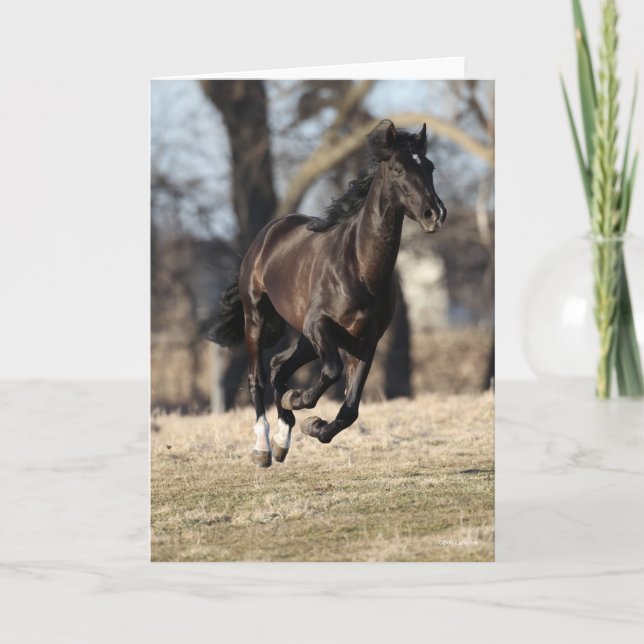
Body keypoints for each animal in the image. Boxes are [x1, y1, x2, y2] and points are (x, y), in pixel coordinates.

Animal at [208, 120, 446, 467]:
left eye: (429, 166)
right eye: (399, 168)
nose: (435, 214)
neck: (359, 267)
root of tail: (268, 233)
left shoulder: (366, 342)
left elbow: (351, 408)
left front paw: (314, 425)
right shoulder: (319, 326)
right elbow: (331, 372)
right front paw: (299, 400)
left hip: (307, 340)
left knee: (278, 365)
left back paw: (282, 439)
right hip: (258, 319)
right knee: (258, 377)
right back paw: (263, 448)